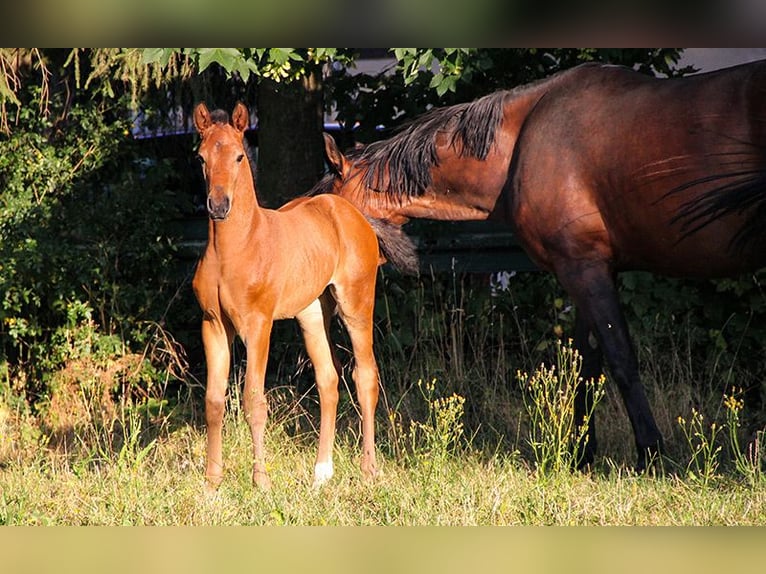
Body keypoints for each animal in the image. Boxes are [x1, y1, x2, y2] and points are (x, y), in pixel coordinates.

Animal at [195, 102, 416, 490]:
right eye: (201, 157)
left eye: (239, 156)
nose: (218, 205)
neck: (235, 249)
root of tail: (356, 214)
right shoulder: (214, 325)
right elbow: (213, 401)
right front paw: (211, 483)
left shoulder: (258, 326)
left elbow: (254, 400)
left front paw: (261, 481)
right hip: (311, 313)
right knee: (328, 379)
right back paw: (322, 472)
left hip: (356, 303)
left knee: (365, 376)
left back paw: (368, 469)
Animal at [318, 59, 766, 472]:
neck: (520, 144)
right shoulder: (588, 269)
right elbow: (589, 364)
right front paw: (583, 453)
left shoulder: (583, 267)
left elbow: (620, 359)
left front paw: (650, 454)